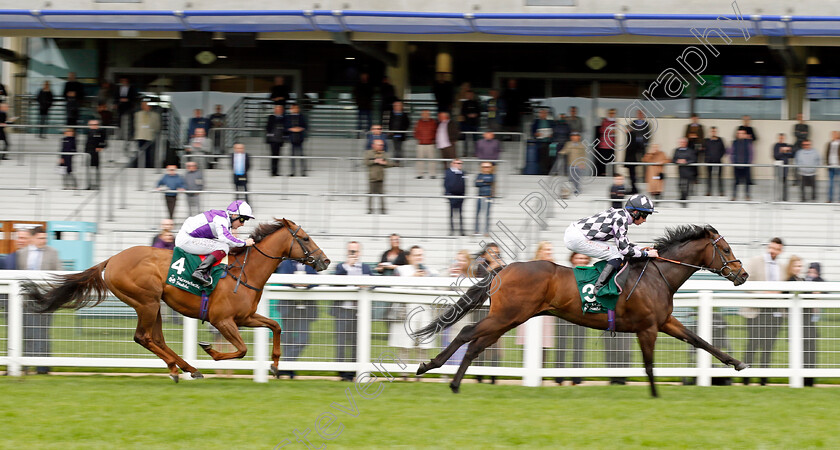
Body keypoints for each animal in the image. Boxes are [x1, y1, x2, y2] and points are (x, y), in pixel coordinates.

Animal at [24, 220, 330, 382]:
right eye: (305, 238)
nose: (325, 260)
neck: (244, 272)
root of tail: (111, 259)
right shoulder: (222, 320)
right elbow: (242, 349)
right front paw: (210, 350)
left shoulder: (245, 317)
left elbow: (276, 326)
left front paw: (276, 365)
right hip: (145, 301)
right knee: (143, 337)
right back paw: (187, 367)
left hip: (154, 304)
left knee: (155, 338)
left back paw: (180, 367)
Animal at [416, 225, 752, 398]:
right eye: (725, 249)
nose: (743, 274)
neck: (658, 275)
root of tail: (502, 268)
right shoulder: (647, 327)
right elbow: (648, 363)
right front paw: (655, 394)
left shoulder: (665, 321)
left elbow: (699, 340)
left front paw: (737, 363)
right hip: (506, 315)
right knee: (466, 333)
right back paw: (429, 366)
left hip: (508, 318)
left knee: (477, 344)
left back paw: (455, 383)